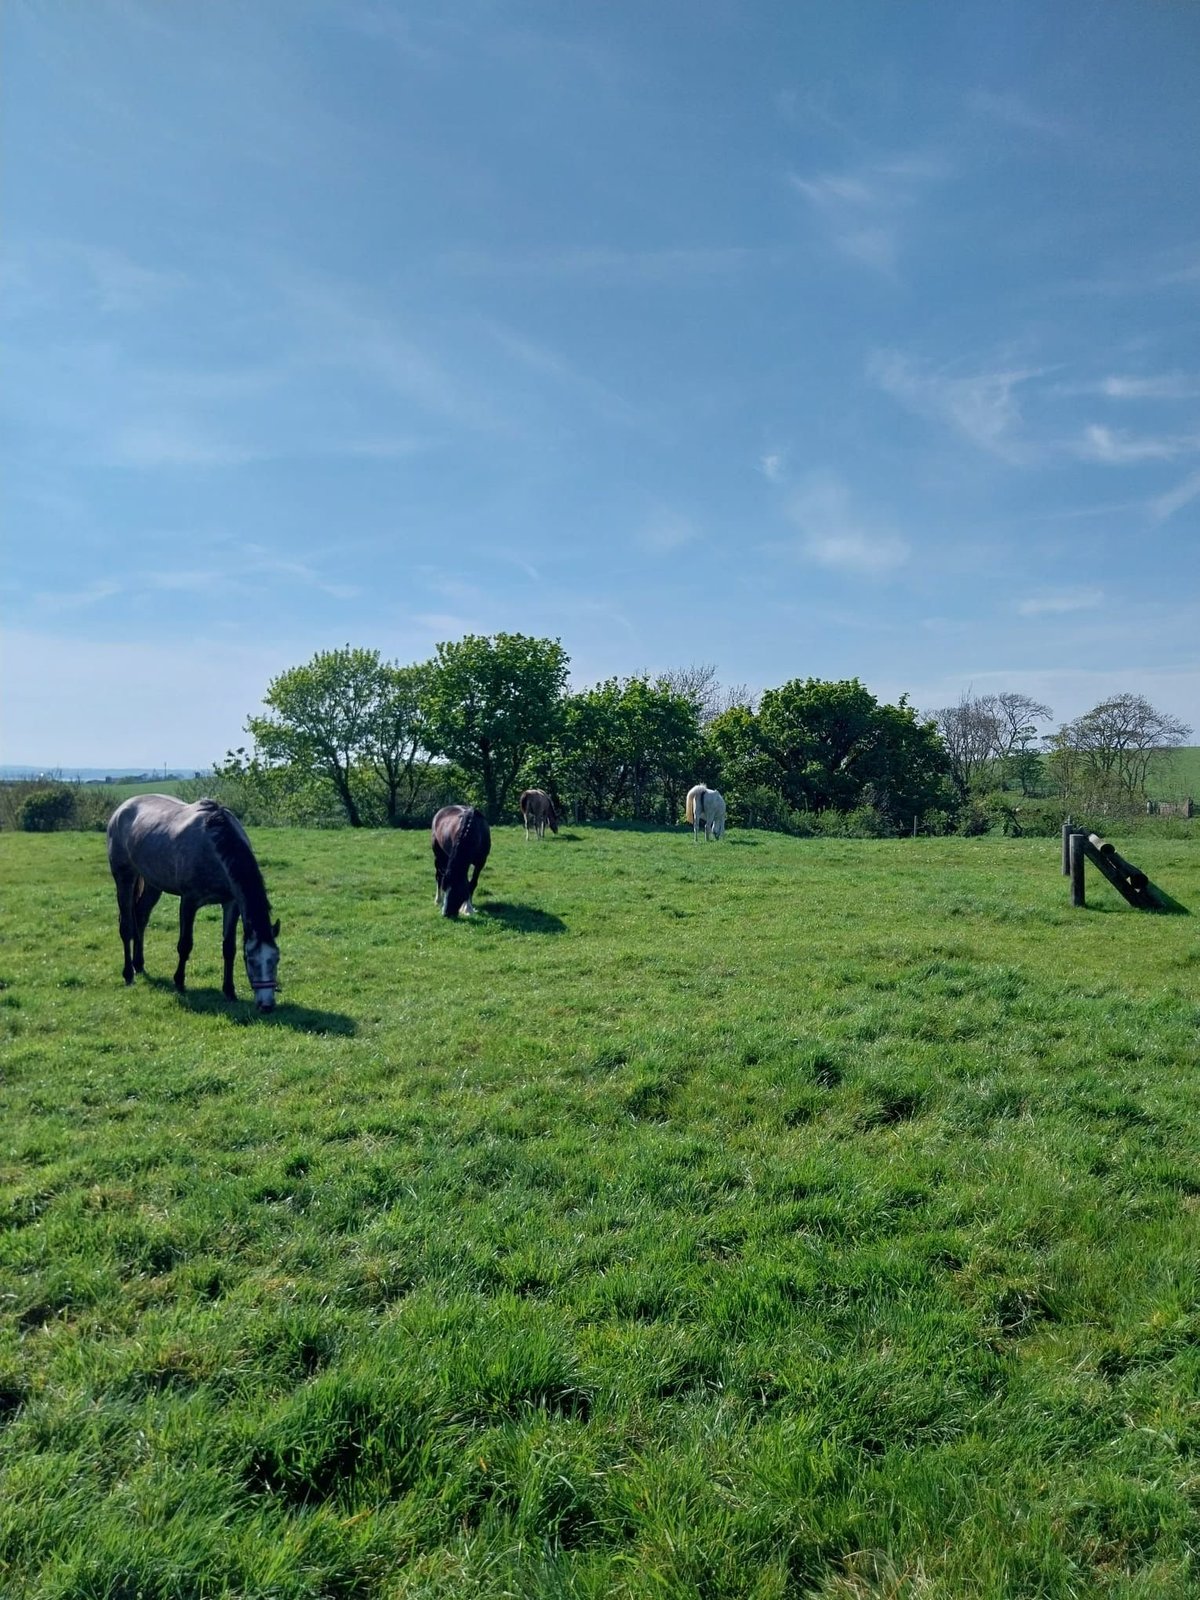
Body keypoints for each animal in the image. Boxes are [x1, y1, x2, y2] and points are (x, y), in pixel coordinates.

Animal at [106, 795, 281, 1009]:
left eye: (276, 959)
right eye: (252, 960)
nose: (267, 1006)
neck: (214, 848)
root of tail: (122, 808)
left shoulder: (231, 904)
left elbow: (228, 948)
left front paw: (229, 990)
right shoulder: (189, 902)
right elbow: (185, 945)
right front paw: (179, 982)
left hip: (153, 884)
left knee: (141, 916)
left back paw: (138, 964)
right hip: (124, 877)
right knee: (126, 926)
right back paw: (128, 974)